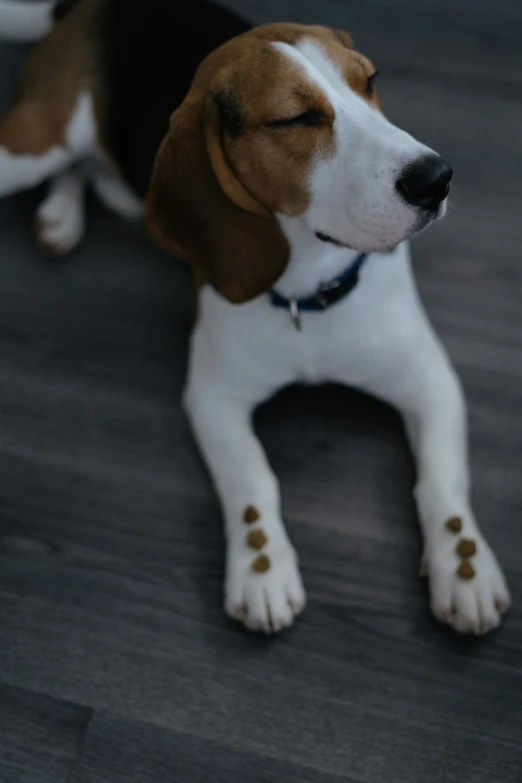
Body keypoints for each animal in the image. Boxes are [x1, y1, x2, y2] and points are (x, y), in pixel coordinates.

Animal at [0, 0, 508, 632]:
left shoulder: (430, 380)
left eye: (369, 82)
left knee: (85, 168)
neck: (305, 292)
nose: (436, 178)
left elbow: (442, 480)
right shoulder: (212, 396)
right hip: (33, 142)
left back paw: (61, 215)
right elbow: (251, 476)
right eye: (295, 119)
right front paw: (261, 568)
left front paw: (465, 568)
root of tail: (91, 5)